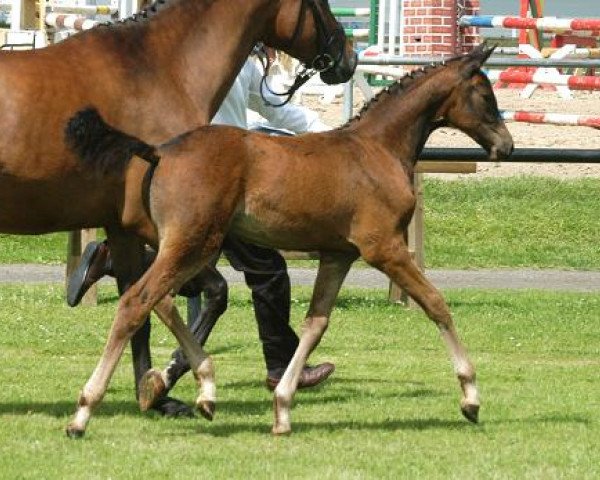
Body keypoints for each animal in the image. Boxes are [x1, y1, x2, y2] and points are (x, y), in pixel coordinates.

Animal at [64, 44, 516, 436]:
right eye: (485, 94)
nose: (507, 145)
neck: (377, 149)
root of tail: (160, 151)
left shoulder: (337, 255)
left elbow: (316, 323)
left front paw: (282, 408)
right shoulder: (384, 248)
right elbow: (436, 304)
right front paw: (471, 398)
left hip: (188, 244)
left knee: (161, 299)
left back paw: (201, 390)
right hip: (191, 242)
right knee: (136, 301)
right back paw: (84, 412)